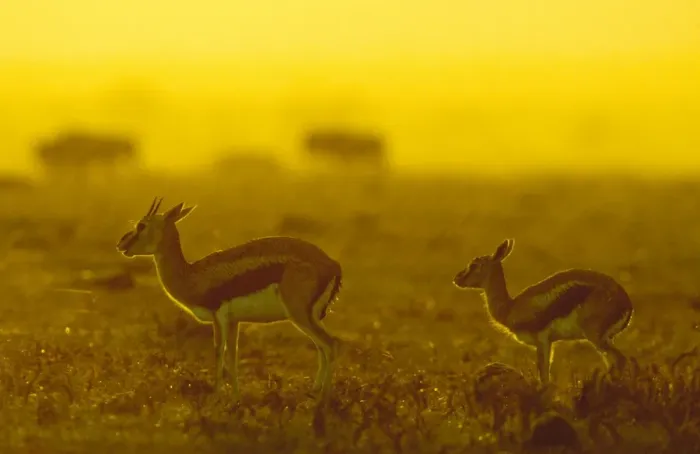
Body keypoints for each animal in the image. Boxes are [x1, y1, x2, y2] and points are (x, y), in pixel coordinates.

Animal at [116, 198, 343, 403]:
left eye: (142, 225)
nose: (121, 244)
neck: (191, 276)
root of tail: (332, 264)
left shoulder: (218, 317)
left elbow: (219, 353)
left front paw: (216, 397)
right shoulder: (234, 321)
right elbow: (232, 358)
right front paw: (235, 399)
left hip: (300, 315)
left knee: (330, 345)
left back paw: (324, 399)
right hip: (310, 317)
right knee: (322, 348)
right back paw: (313, 393)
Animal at [453, 239, 633, 385]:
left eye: (474, 264)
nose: (457, 279)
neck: (511, 308)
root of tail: (626, 302)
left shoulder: (541, 341)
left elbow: (544, 378)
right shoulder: (549, 343)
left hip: (595, 337)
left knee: (621, 360)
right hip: (604, 339)